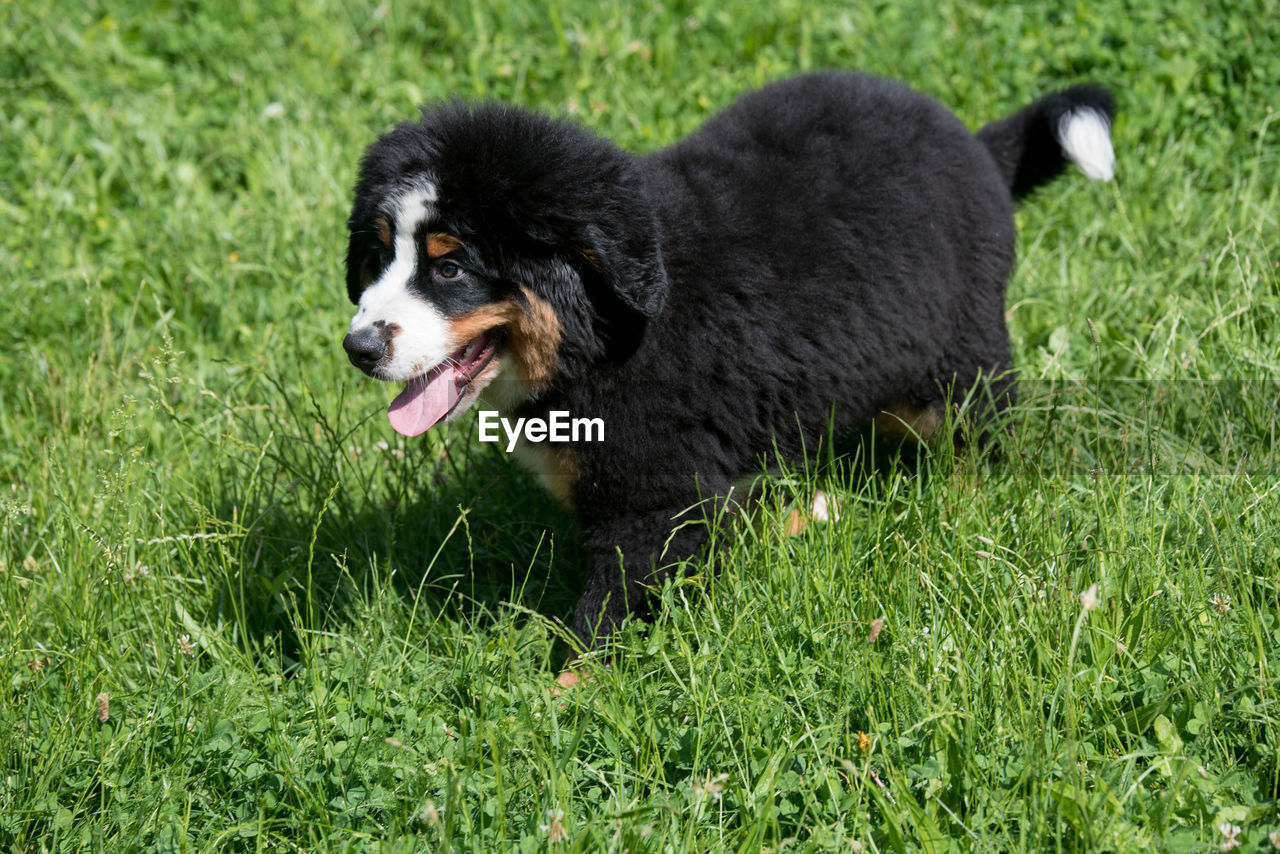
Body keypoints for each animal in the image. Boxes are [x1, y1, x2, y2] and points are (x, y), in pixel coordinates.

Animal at [345, 71, 1116, 647]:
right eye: (380, 254)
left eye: (449, 268)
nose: (359, 347)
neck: (599, 338)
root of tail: (975, 144)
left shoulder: (655, 504)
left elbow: (605, 618)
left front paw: (562, 701)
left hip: (958, 360)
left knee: (975, 438)